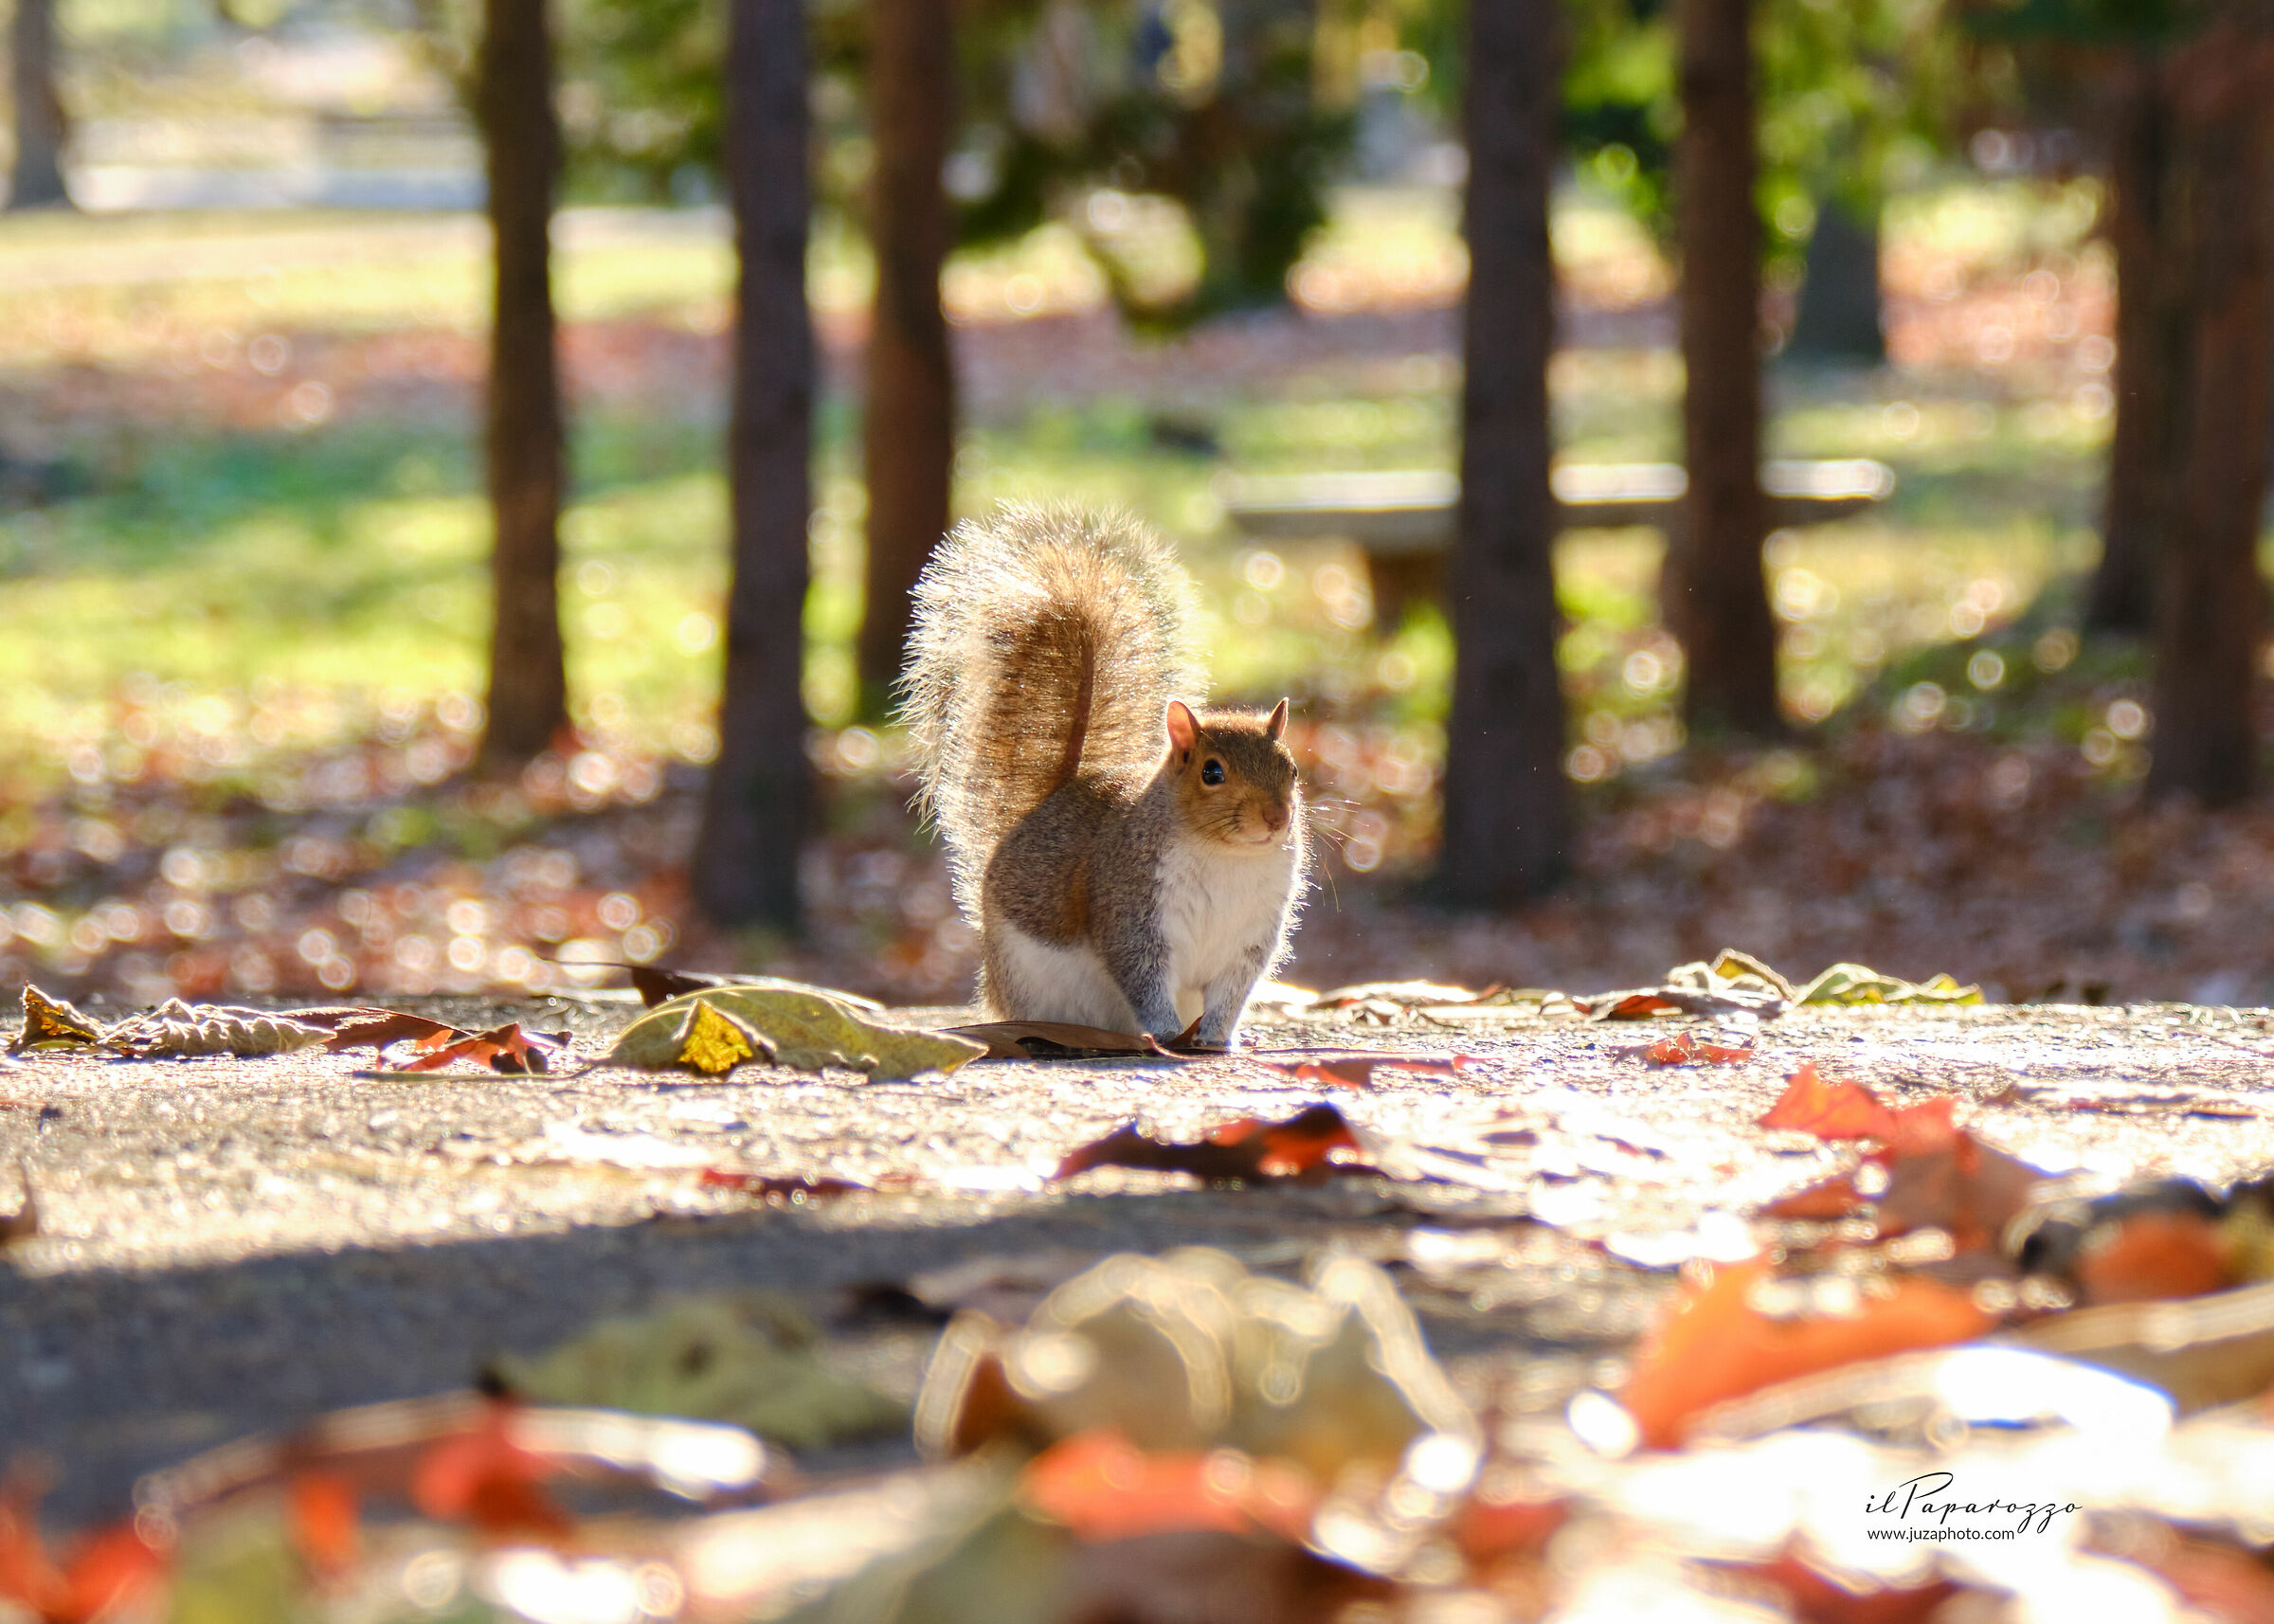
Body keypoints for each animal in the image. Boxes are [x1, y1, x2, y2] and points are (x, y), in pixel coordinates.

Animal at [901, 503, 1305, 1048]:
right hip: (1030, 982)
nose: (1276, 817)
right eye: (1212, 772)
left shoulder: (1250, 938)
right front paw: (1168, 1032)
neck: (1228, 858)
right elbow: (1143, 976)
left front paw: (1217, 1038)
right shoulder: (1130, 908)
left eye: (1292, 769)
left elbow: (1231, 994)